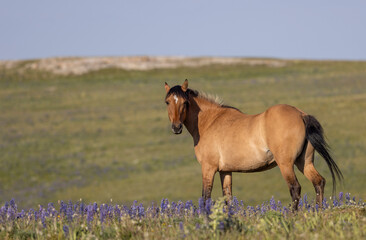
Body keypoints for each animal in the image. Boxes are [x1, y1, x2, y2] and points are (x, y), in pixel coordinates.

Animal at [164, 79, 344, 209]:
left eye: (185, 102)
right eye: (167, 102)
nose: (176, 127)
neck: (210, 121)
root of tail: (301, 114)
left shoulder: (208, 168)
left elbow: (205, 197)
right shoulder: (225, 171)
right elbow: (228, 198)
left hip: (286, 164)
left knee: (295, 189)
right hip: (304, 162)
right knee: (318, 182)